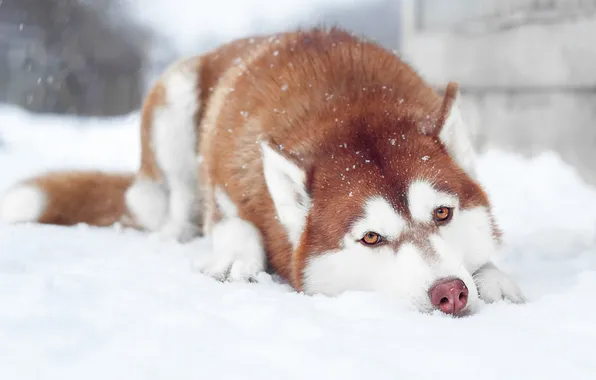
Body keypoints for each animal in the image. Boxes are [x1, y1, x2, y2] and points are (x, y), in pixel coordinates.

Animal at [0, 28, 520, 316]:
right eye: (371, 238)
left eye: (442, 214)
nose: (450, 293)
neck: (348, 106)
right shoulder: (224, 188)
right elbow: (233, 224)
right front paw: (235, 257)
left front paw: (494, 278)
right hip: (174, 95)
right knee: (175, 206)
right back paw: (177, 233)